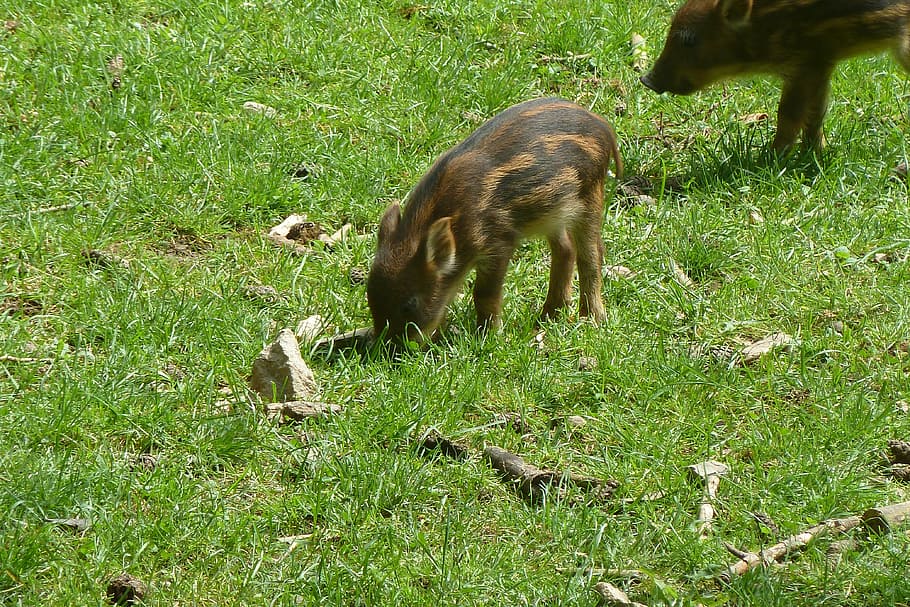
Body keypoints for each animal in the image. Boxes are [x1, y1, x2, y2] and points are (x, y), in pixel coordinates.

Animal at [367, 97, 622, 344]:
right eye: (370, 296)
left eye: (409, 305)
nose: (390, 349)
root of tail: (603, 125)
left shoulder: (499, 241)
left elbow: (484, 294)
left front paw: (488, 336)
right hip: (554, 212)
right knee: (566, 250)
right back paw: (547, 316)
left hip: (590, 196)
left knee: (591, 256)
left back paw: (592, 319)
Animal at [640, 0, 910, 151]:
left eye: (689, 40)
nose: (646, 79)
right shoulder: (818, 63)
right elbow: (816, 113)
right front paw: (814, 154)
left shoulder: (804, 63)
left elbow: (789, 114)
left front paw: (773, 157)